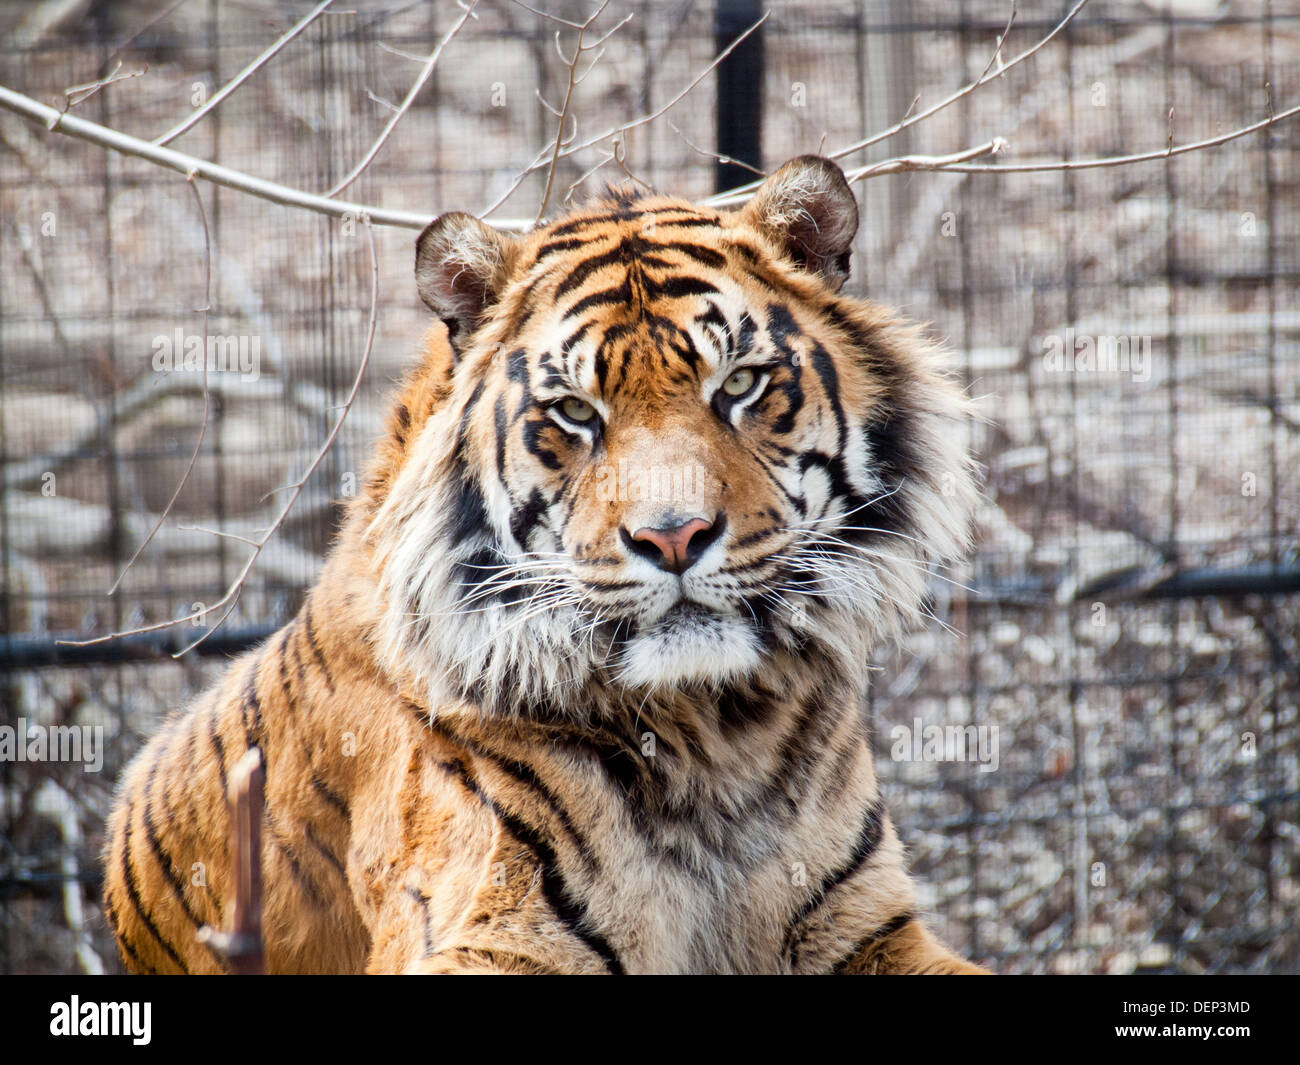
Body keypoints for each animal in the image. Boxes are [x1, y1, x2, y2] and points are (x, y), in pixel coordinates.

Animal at [101, 156, 982, 972]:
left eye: (740, 383)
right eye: (575, 412)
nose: (674, 537)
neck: (719, 736)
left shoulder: (868, 925)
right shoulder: (485, 926)